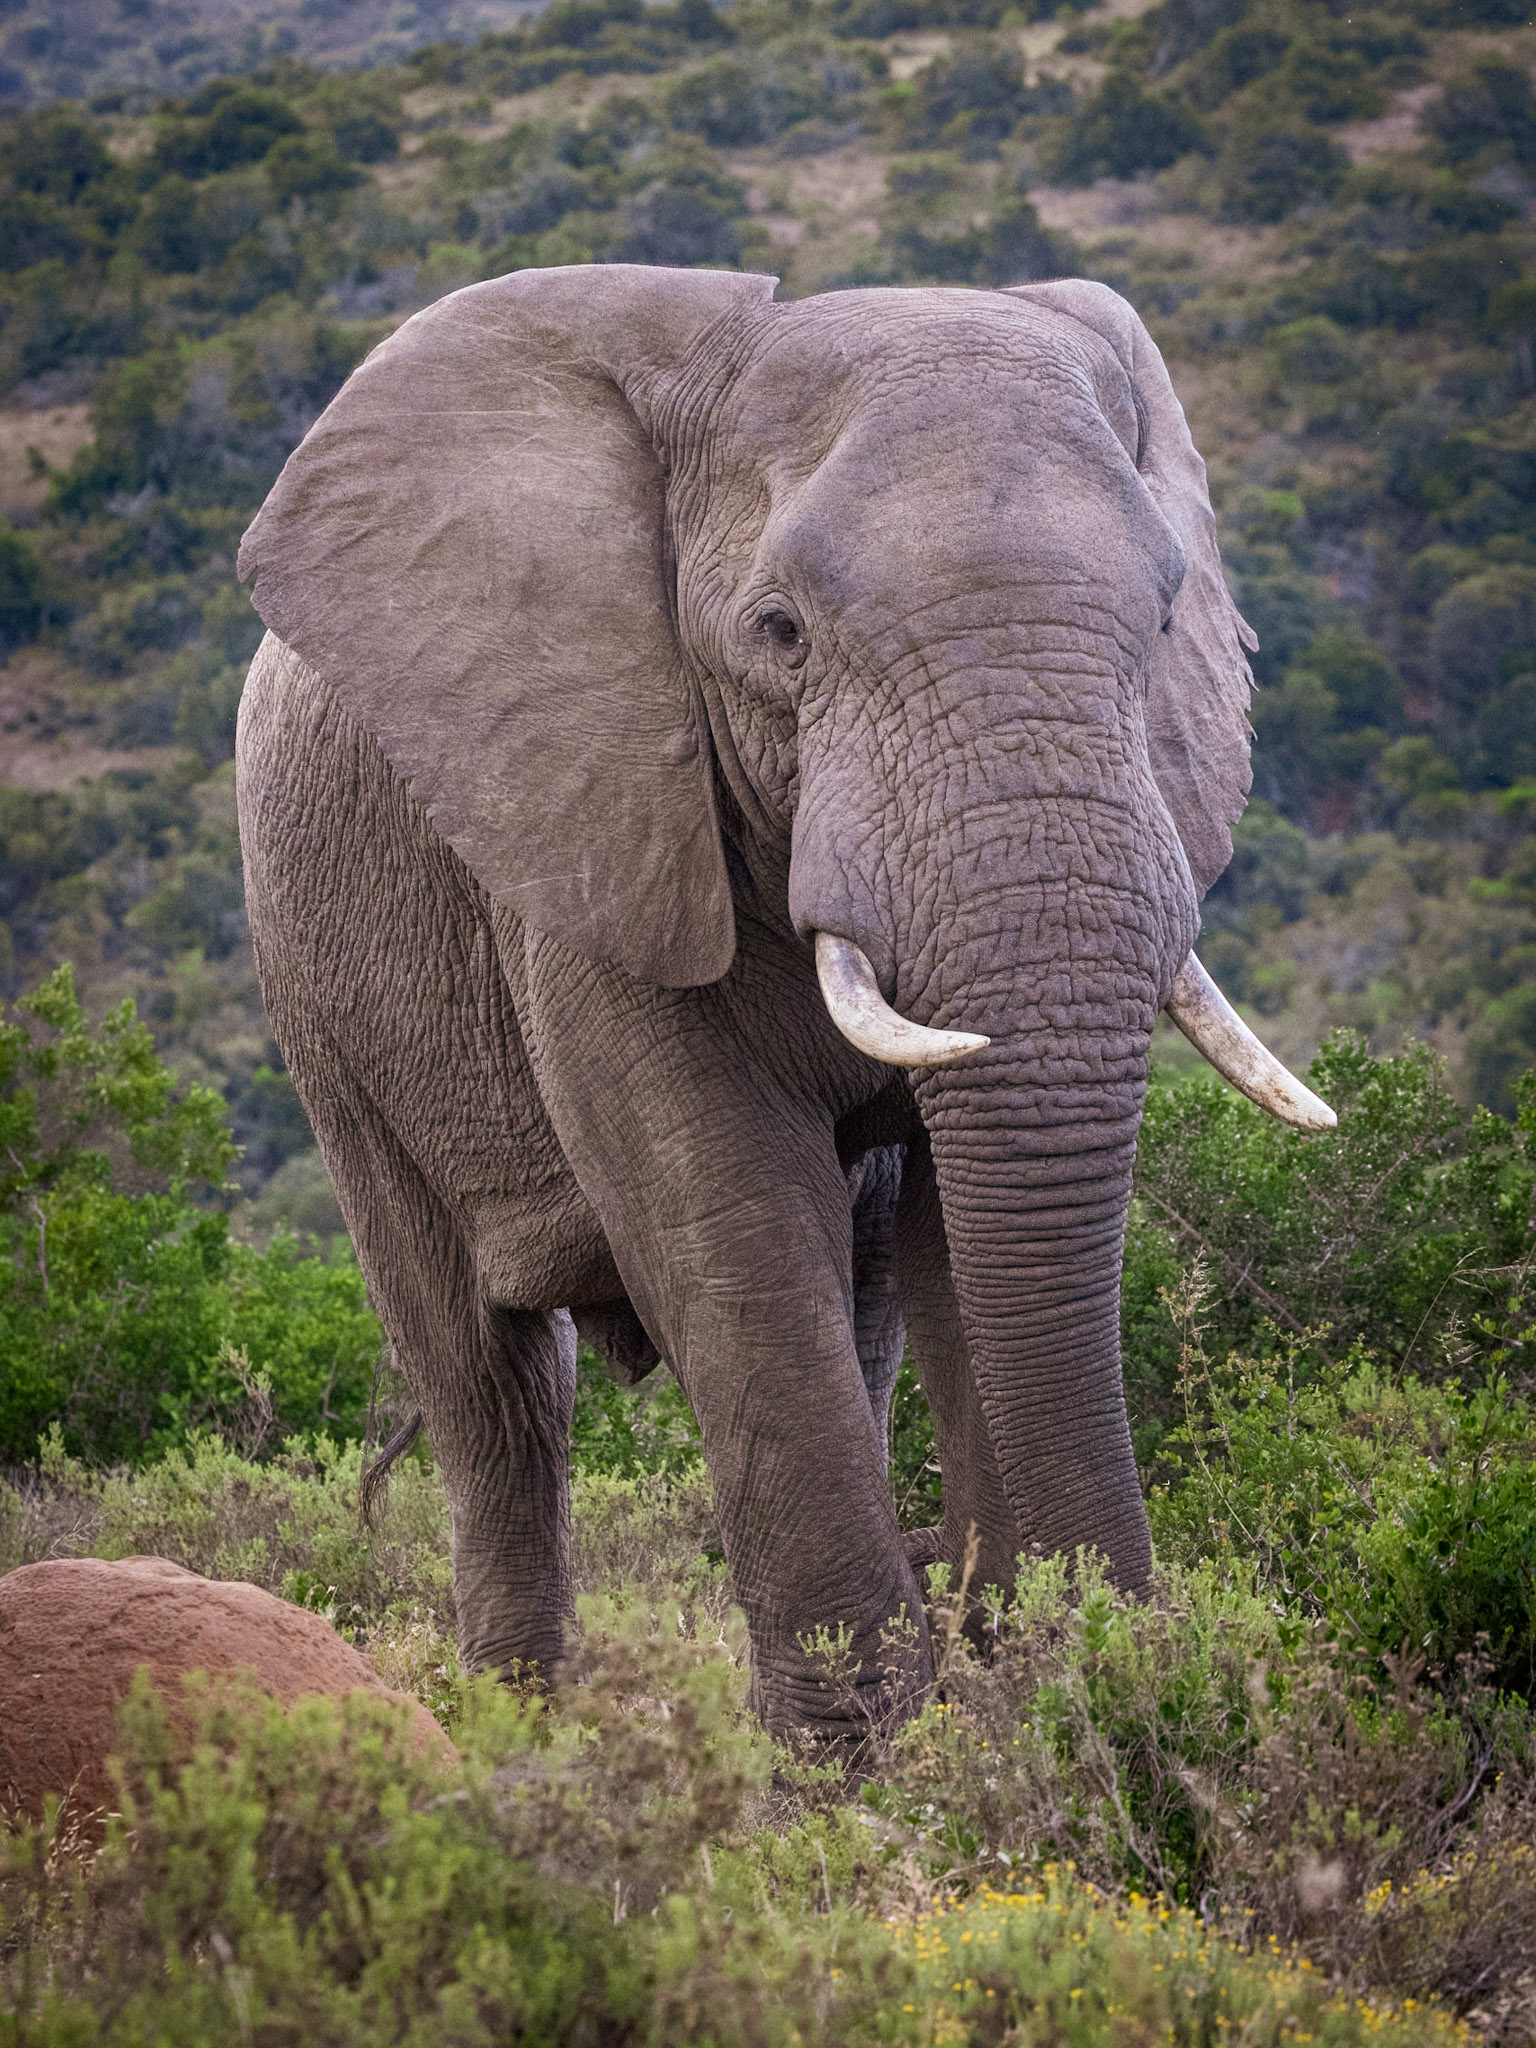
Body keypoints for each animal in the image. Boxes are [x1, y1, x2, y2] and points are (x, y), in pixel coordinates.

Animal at [235, 262, 1333, 1742]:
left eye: (1166, 619)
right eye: (781, 634)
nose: (1128, 1651)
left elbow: (949, 1229)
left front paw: (1024, 1710)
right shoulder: (595, 819)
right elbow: (733, 1208)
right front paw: (864, 1769)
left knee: (857, 1309)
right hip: (318, 996)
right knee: (493, 1386)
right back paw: (523, 1734)